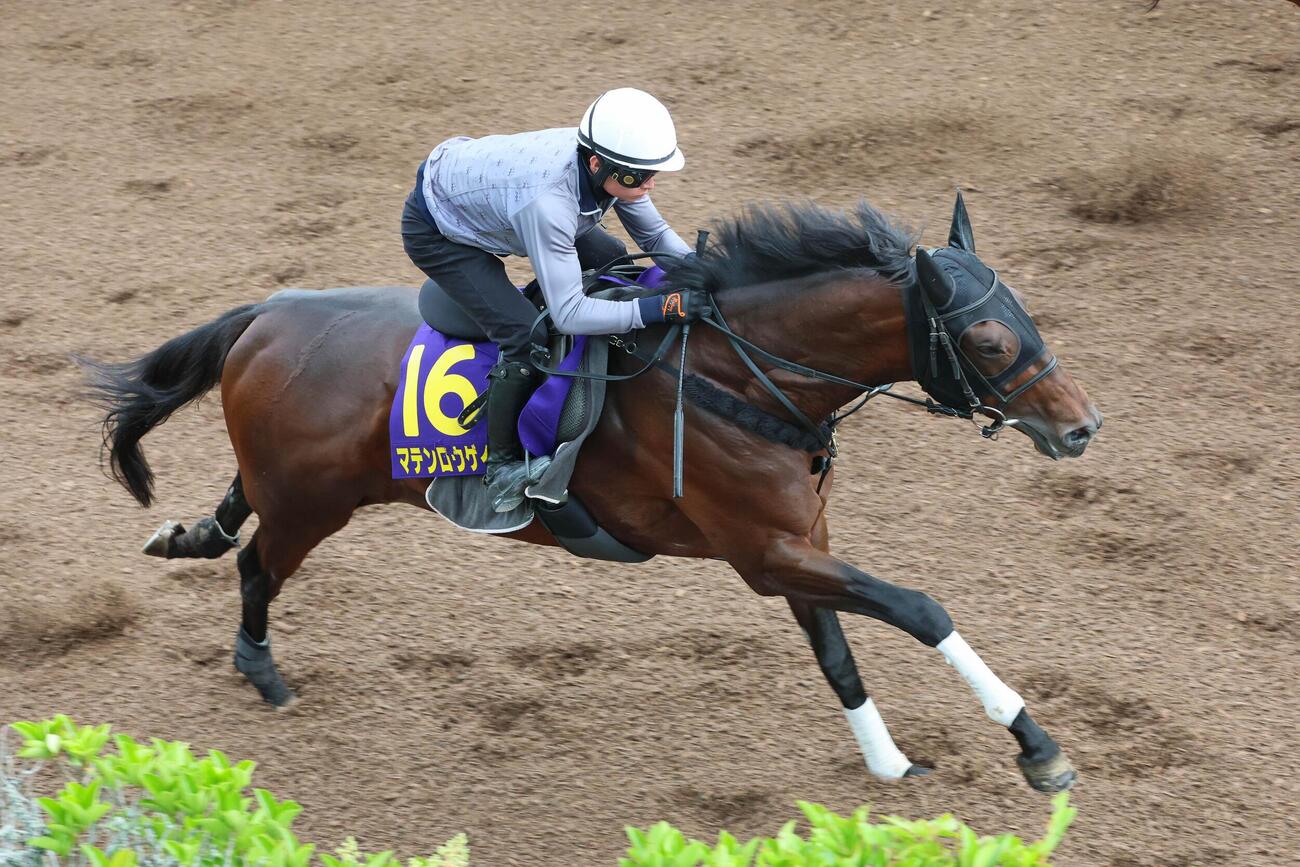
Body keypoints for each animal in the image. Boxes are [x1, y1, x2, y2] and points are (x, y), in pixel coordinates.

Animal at [83, 193, 1101, 793]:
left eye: (1025, 313)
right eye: (989, 340)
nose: (1082, 425)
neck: (736, 377)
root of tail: (266, 312)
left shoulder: (791, 544)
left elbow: (839, 655)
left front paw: (888, 761)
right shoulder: (763, 551)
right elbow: (921, 608)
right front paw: (1034, 745)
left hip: (291, 479)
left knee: (235, 514)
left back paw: (185, 535)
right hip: (311, 503)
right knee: (258, 561)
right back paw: (261, 668)